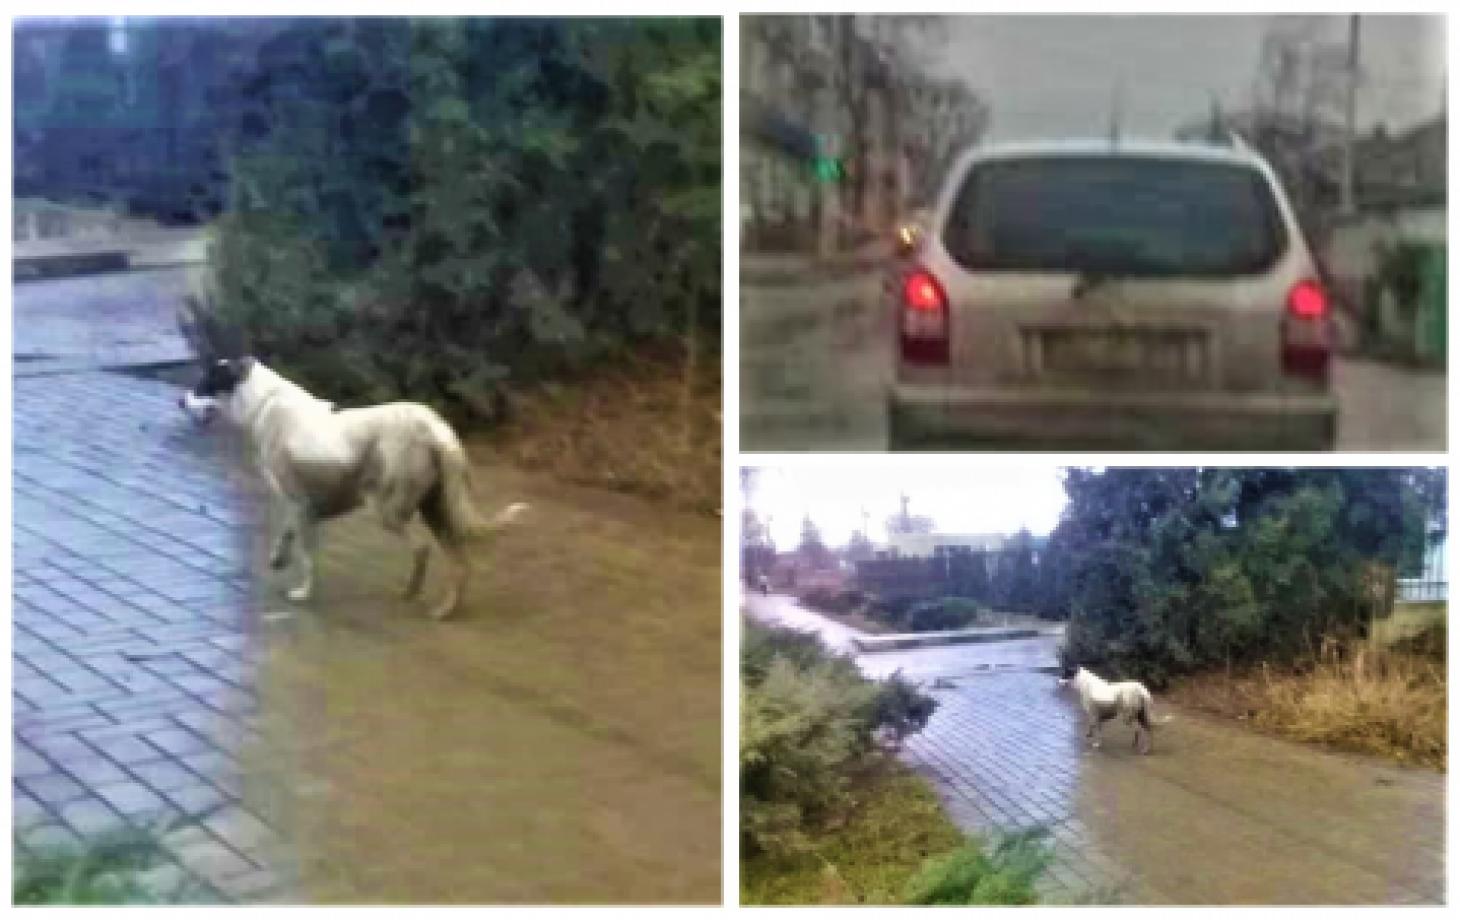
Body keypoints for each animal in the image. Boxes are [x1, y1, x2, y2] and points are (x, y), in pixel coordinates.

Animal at [178, 356, 528, 625]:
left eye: (204, 382)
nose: (179, 400)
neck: (264, 401)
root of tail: (436, 429)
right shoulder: (299, 505)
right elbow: (287, 533)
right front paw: (279, 558)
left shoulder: (300, 503)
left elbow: (306, 555)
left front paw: (303, 593)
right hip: (436, 509)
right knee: (461, 564)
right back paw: (445, 610)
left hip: (389, 509)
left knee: (422, 550)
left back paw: (412, 592)